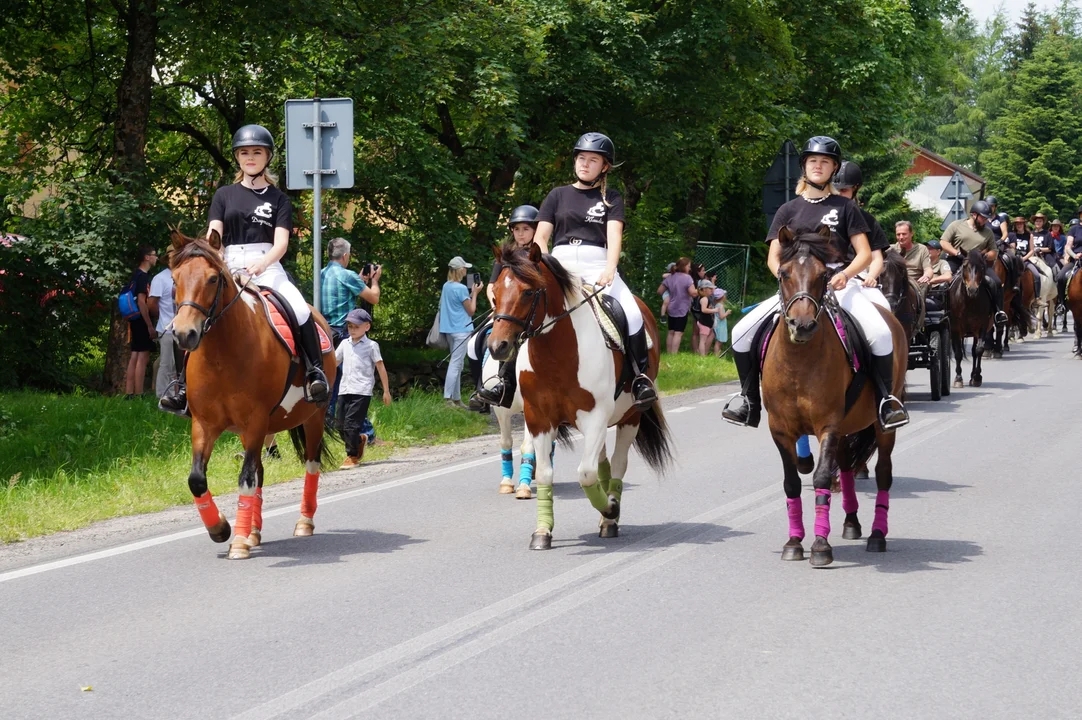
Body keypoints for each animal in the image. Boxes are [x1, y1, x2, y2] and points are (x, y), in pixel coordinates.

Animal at [168, 228, 335, 554]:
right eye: (174, 279)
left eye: (213, 278)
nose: (184, 334)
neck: (222, 355)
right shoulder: (204, 424)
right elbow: (197, 480)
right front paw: (221, 529)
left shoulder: (255, 420)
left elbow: (245, 479)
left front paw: (238, 543)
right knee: (260, 471)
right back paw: (255, 530)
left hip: (313, 417)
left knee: (311, 465)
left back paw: (303, 523)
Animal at [486, 242, 670, 550]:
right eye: (495, 292)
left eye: (527, 292)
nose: (497, 346)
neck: (558, 354)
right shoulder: (539, 419)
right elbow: (546, 474)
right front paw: (542, 531)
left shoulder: (594, 417)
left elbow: (585, 474)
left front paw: (610, 509)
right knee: (604, 464)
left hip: (629, 417)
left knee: (617, 464)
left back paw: (610, 517)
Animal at [766, 227, 908, 563]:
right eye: (783, 273)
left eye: (823, 275)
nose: (803, 325)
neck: (798, 361)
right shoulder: (779, 429)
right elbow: (792, 482)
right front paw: (794, 542)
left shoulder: (828, 424)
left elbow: (820, 478)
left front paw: (820, 545)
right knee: (844, 468)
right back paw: (852, 523)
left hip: (881, 426)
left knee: (883, 473)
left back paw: (877, 535)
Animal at [952, 250, 991, 389]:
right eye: (964, 266)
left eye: (982, 267)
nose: (972, 289)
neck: (970, 302)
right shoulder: (955, 328)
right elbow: (958, 353)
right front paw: (958, 378)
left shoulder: (983, 326)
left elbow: (979, 350)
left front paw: (977, 377)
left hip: (975, 332)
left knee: (974, 351)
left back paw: (973, 376)